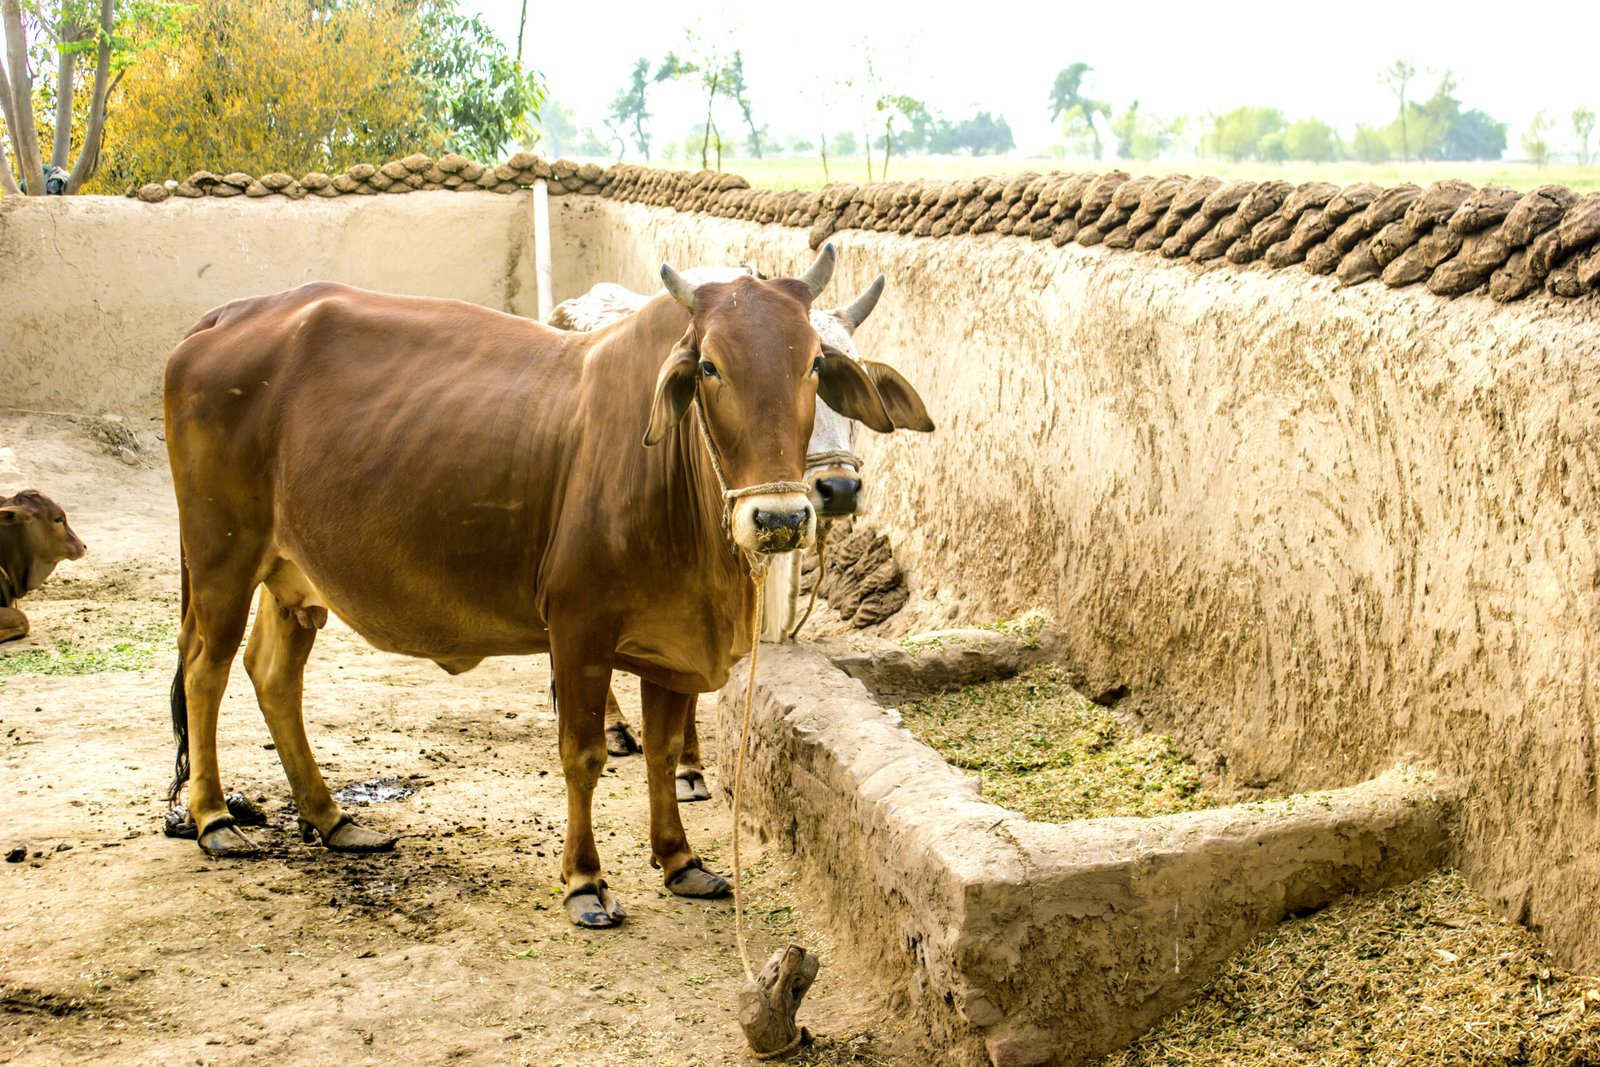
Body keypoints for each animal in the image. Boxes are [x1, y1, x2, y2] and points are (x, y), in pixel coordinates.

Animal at [162, 247, 928, 927]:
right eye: (711, 366)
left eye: (814, 364)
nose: (782, 517)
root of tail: (227, 315)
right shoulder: (579, 626)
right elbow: (583, 757)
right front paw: (585, 882)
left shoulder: (672, 642)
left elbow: (661, 752)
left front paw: (680, 860)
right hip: (222, 556)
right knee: (205, 669)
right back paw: (213, 818)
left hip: (291, 576)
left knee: (272, 675)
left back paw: (333, 818)